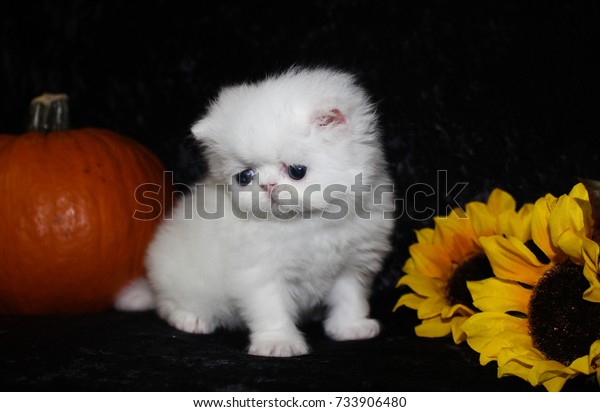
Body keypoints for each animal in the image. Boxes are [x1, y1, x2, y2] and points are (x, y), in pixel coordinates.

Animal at [118, 67, 398, 358]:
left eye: (297, 171)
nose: (267, 185)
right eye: (245, 176)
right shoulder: (260, 273)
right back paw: (190, 318)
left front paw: (351, 328)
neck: (308, 220)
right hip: (180, 279)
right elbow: (272, 311)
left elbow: (350, 299)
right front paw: (279, 343)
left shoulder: (353, 265)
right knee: (168, 304)